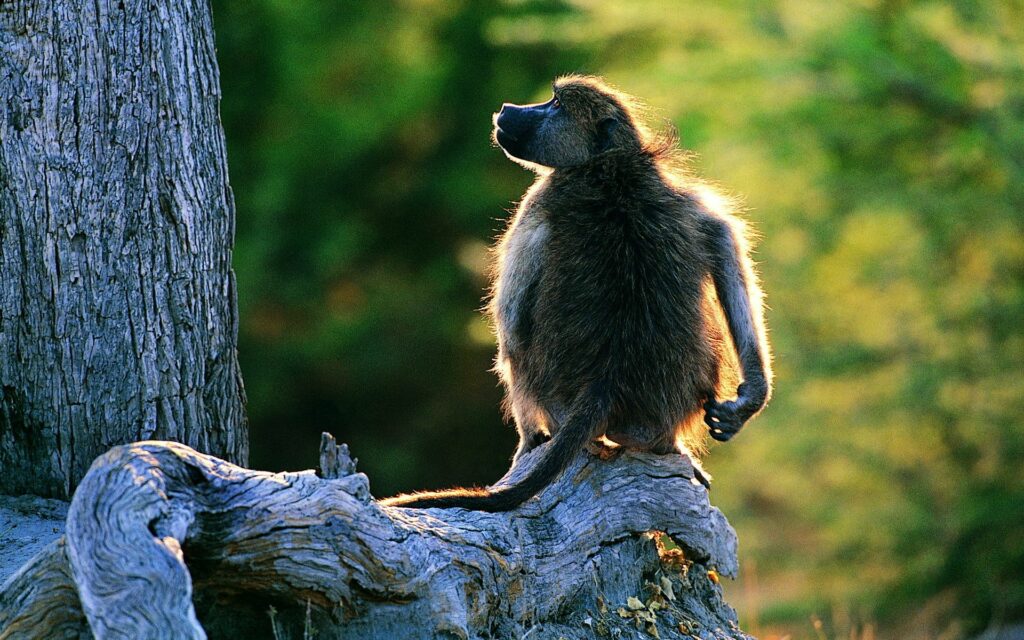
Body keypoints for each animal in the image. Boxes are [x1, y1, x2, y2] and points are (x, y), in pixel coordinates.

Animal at [383, 75, 772, 512]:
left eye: (554, 104)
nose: (507, 108)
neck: (607, 166)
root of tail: (606, 378)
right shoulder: (685, 201)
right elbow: (725, 248)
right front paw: (751, 398)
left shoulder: (536, 203)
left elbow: (510, 326)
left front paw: (526, 442)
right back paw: (664, 444)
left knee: (518, 353)